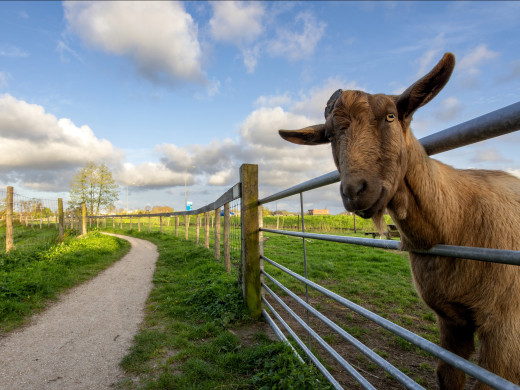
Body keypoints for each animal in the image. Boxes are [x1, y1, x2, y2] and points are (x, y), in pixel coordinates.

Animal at [278, 52, 520, 390]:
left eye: (391, 117)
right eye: (329, 135)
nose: (356, 190)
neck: (454, 218)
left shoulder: (505, 328)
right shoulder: (450, 320)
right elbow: (447, 377)